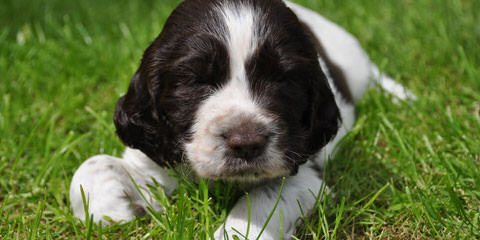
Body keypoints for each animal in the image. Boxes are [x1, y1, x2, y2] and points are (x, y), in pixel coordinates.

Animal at [69, 0, 414, 238]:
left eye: (282, 79)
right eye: (197, 80)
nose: (246, 144)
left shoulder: (305, 175)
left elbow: (263, 199)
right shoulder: (154, 157)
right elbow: (92, 165)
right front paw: (111, 209)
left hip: (353, 60)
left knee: (373, 75)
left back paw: (404, 97)